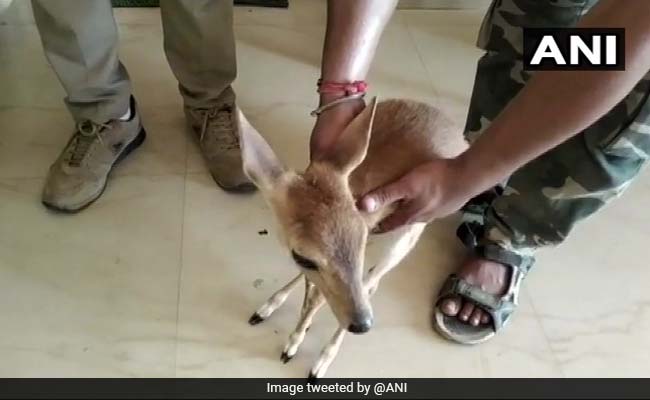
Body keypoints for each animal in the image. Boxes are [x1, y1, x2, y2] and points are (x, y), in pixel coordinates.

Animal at [239, 97, 468, 379]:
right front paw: (272, 313)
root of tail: (460, 136)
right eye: (303, 256)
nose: (362, 324)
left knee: (373, 282)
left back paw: (322, 360)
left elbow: (320, 297)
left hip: (410, 231)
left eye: (359, 238)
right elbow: (312, 288)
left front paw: (294, 347)